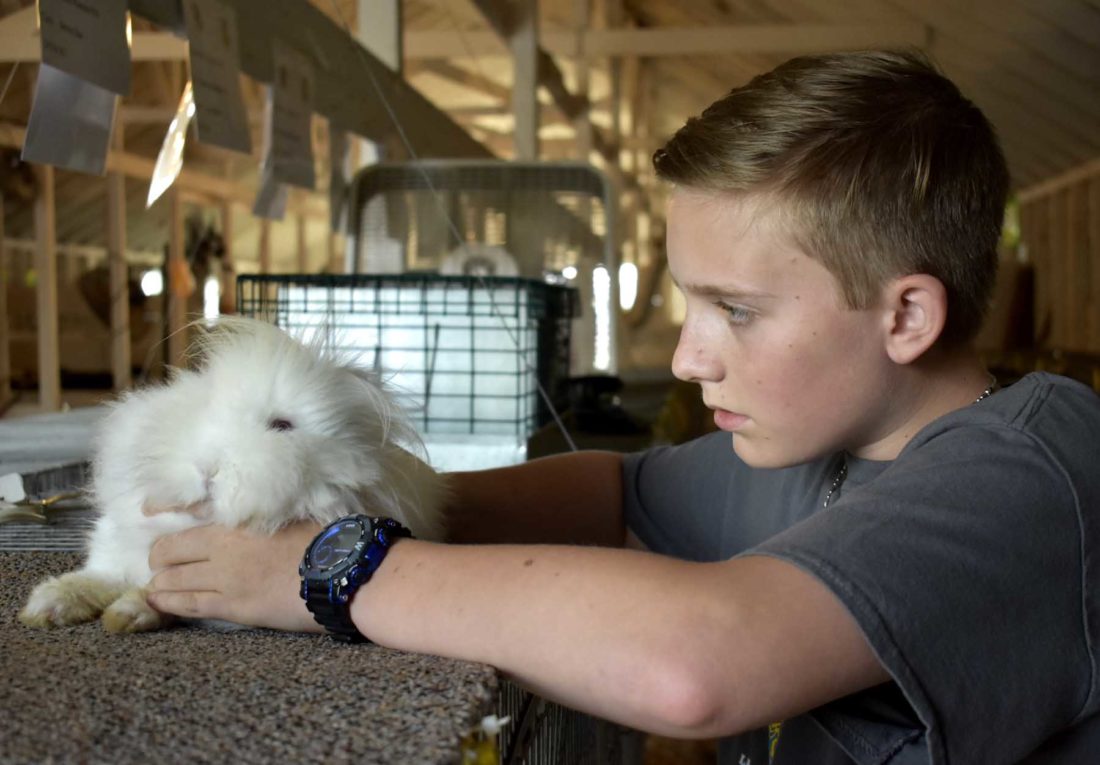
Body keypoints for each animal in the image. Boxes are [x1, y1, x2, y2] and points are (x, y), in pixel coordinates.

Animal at [19, 316, 447, 634]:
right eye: (201, 411)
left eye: (281, 426)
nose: (206, 468)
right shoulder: (114, 553)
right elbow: (96, 578)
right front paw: (46, 605)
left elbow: (164, 597)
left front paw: (128, 613)